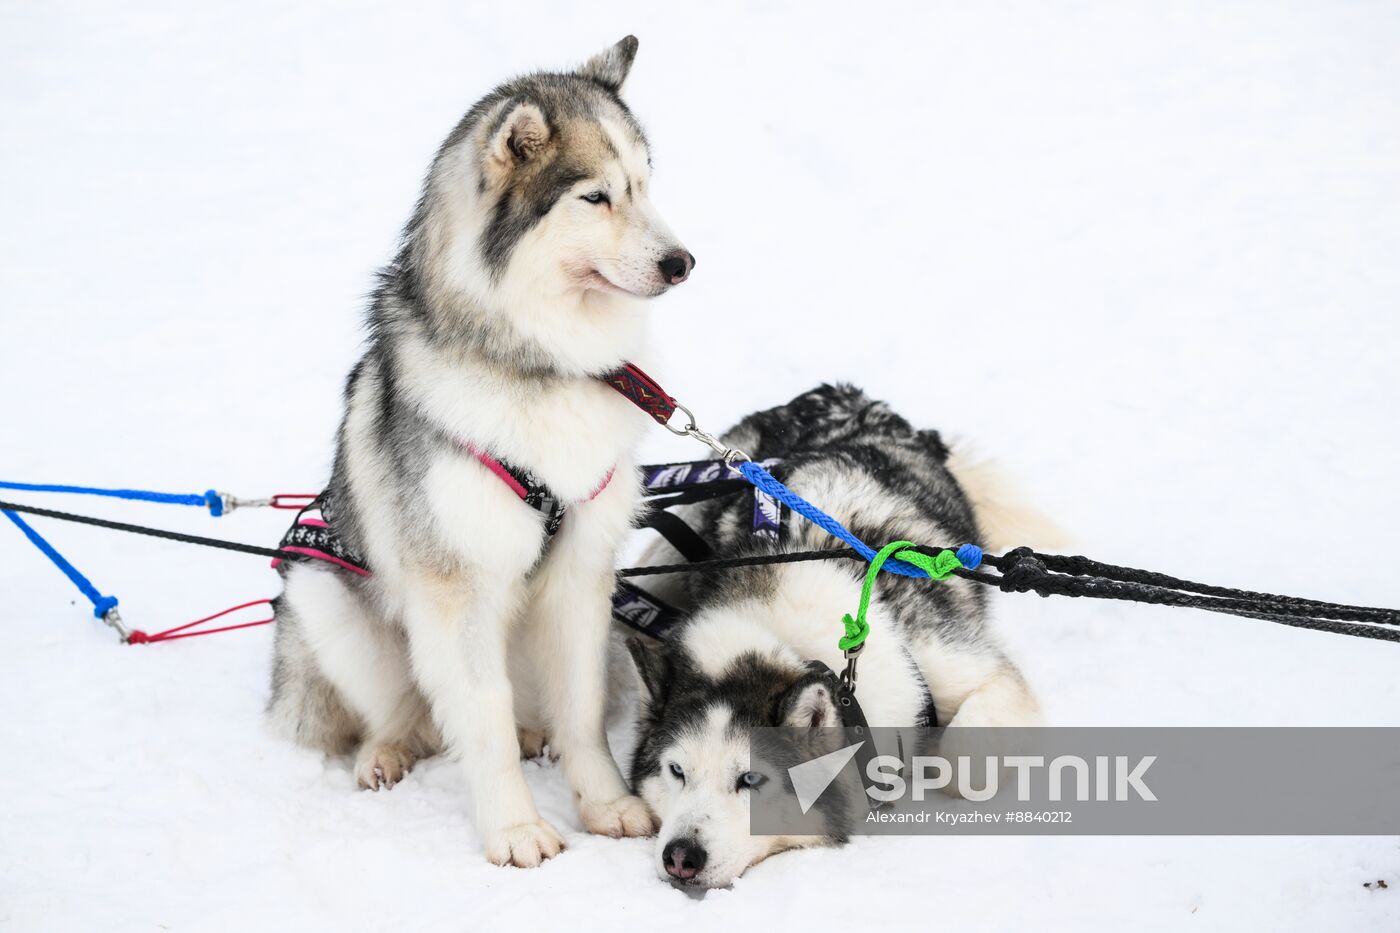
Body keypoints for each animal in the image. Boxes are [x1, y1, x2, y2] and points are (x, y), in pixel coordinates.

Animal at [264, 36, 691, 862]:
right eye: (595, 197)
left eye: (645, 184)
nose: (682, 262)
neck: (542, 364)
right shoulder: (455, 586)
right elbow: (480, 715)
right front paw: (515, 828)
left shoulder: (581, 574)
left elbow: (581, 706)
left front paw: (604, 802)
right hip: (326, 599)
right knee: (414, 714)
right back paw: (386, 750)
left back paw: (534, 734)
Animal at [630, 383, 1047, 885]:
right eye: (676, 771)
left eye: (750, 779)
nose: (680, 857)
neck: (798, 644)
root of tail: (844, 394)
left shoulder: (967, 667)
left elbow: (963, 765)